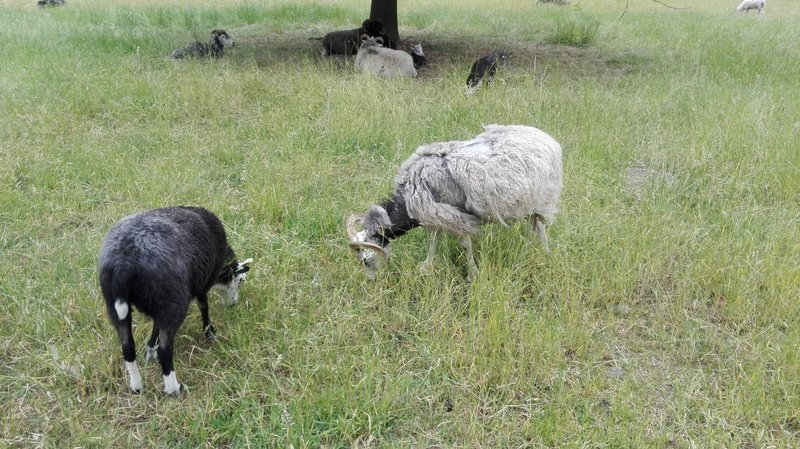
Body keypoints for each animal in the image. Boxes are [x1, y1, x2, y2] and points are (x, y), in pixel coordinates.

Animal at [98, 206, 252, 396]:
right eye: (240, 281)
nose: (233, 304)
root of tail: (123, 263)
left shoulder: (159, 306)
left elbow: (156, 326)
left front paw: (150, 349)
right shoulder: (202, 284)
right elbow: (204, 306)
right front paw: (209, 332)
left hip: (116, 304)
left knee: (127, 346)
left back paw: (136, 386)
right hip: (173, 302)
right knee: (165, 351)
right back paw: (173, 388)